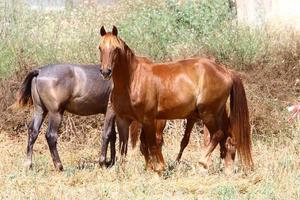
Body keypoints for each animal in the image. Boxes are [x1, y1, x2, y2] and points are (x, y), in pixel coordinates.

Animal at [98, 26, 253, 173]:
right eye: (100, 48)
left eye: (116, 49)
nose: (106, 72)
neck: (132, 80)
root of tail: (226, 71)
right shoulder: (123, 120)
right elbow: (124, 148)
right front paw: (124, 172)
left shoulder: (148, 119)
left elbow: (152, 144)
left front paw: (159, 169)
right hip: (218, 113)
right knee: (229, 139)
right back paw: (227, 169)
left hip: (208, 113)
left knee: (218, 134)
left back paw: (202, 163)